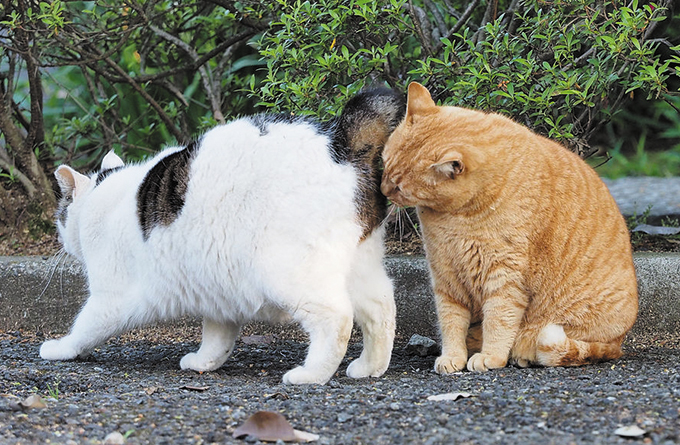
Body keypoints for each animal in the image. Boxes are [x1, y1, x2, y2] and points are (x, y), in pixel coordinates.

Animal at [38, 88, 404, 384]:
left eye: (61, 214)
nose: (60, 235)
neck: (102, 196)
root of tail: (341, 144)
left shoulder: (109, 298)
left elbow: (84, 327)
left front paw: (60, 348)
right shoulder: (216, 291)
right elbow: (218, 337)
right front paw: (205, 362)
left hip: (287, 272)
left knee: (337, 317)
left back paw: (311, 375)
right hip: (359, 265)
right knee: (381, 308)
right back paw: (370, 367)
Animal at [382, 82, 636, 372]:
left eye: (399, 187)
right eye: (384, 166)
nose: (383, 190)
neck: (457, 218)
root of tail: (619, 343)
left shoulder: (504, 276)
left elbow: (499, 320)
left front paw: (491, 356)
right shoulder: (446, 276)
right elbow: (450, 322)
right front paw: (453, 357)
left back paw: (520, 354)